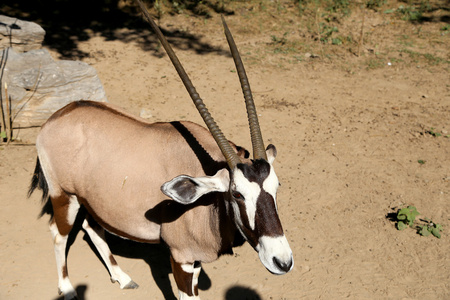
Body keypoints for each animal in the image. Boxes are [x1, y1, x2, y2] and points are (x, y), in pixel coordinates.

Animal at [29, 1, 296, 298]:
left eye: (277, 186)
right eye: (237, 194)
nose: (282, 261)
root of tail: (56, 117)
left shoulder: (195, 261)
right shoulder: (181, 258)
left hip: (93, 201)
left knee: (92, 227)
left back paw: (122, 277)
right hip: (64, 196)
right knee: (59, 233)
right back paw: (66, 288)